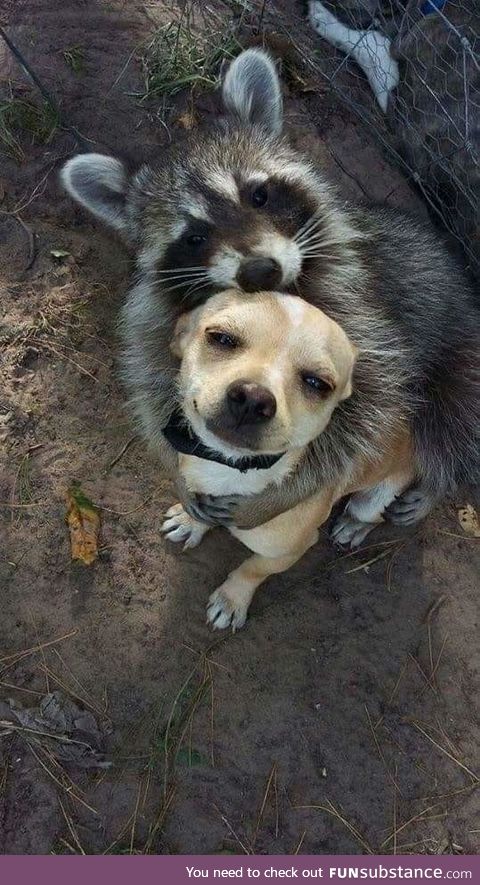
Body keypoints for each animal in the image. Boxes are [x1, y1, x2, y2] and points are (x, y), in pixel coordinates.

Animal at [61, 48, 480, 528]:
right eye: (194, 237)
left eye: (258, 195)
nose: (259, 270)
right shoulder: (156, 315)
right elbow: (153, 384)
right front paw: (178, 472)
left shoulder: (361, 312)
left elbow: (361, 418)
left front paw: (280, 496)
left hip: (460, 353)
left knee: (454, 420)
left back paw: (434, 484)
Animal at [160, 290, 412, 628]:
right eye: (222, 338)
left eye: (317, 384)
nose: (253, 398)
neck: (229, 470)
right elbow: (201, 511)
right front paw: (191, 521)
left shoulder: (288, 552)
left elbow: (253, 569)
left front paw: (231, 599)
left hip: (379, 495)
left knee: (373, 515)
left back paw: (353, 525)